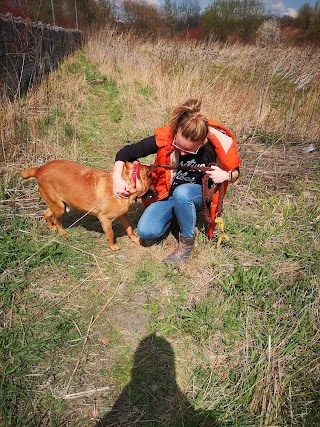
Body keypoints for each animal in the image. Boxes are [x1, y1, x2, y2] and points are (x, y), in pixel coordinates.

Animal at [19, 160, 157, 251]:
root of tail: (39, 169)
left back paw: (51, 226)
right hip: (59, 209)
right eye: (153, 183)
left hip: (58, 204)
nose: (158, 193)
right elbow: (111, 234)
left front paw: (136, 239)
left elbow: (129, 229)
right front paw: (112, 246)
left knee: (46, 213)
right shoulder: (105, 219)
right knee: (57, 220)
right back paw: (63, 233)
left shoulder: (123, 215)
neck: (127, 182)